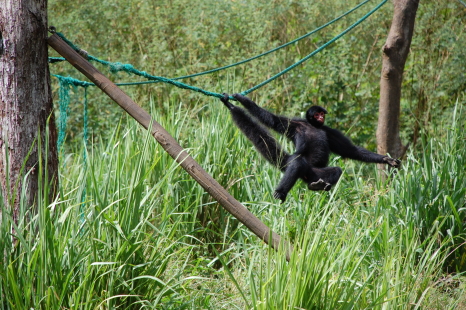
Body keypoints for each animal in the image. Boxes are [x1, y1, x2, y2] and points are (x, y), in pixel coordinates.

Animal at [220, 93, 398, 202]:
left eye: (322, 114)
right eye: (317, 114)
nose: (321, 117)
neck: (314, 126)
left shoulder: (329, 131)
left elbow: (350, 150)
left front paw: (386, 159)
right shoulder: (294, 124)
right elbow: (272, 119)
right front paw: (241, 100)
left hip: (315, 173)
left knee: (335, 171)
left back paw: (319, 186)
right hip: (301, 165)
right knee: (298, 163)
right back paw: (281, 192)